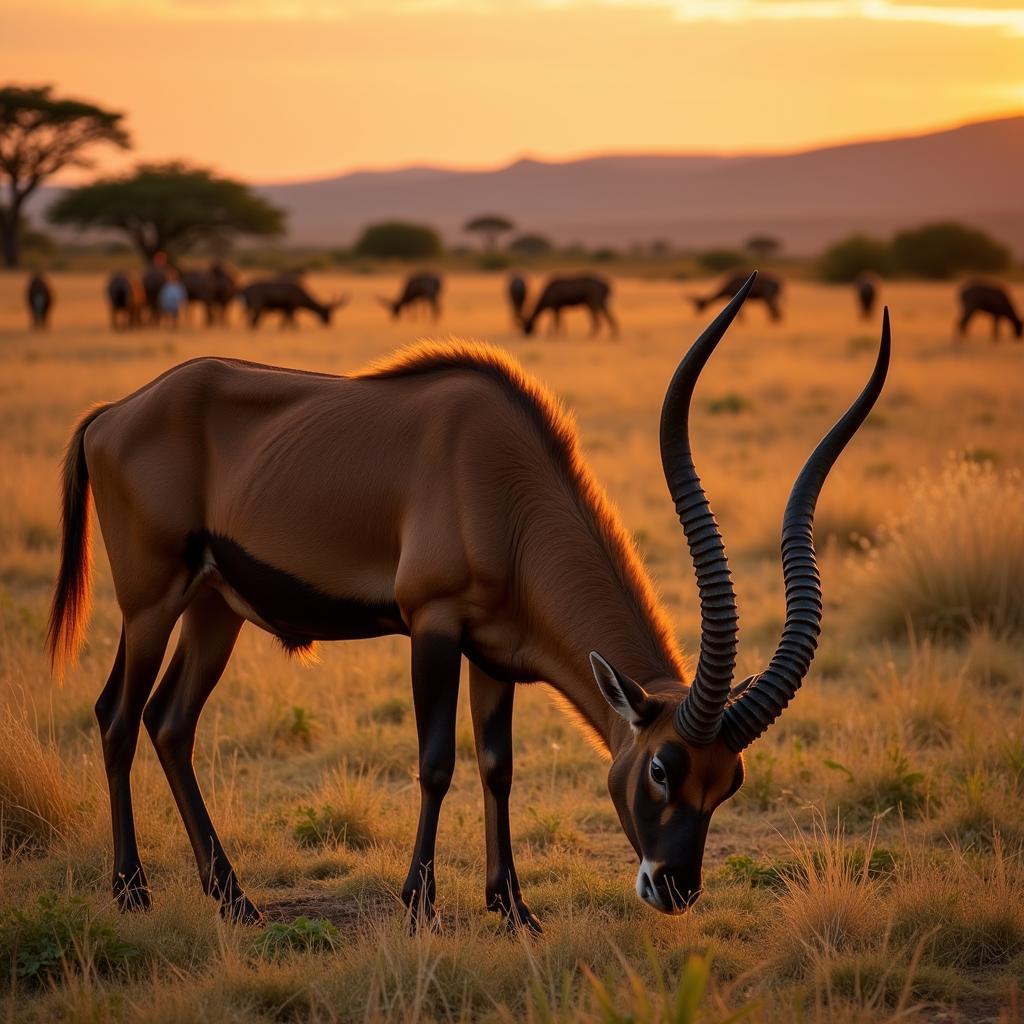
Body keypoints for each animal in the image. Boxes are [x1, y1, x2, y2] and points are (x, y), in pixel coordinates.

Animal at [48, 276, 888, 933]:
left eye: (730, 782)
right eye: (661, 767)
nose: (673, 889)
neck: (504, 486)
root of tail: (114, 413)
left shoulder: (494, 654)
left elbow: (496, 766)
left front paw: (512, 907)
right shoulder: (434, 626)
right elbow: (436, 761)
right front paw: (420, 905)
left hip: (213, 609)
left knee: (169, 723)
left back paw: (234, 900)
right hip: (151, 605)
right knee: (118, 715)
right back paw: (132, 891)